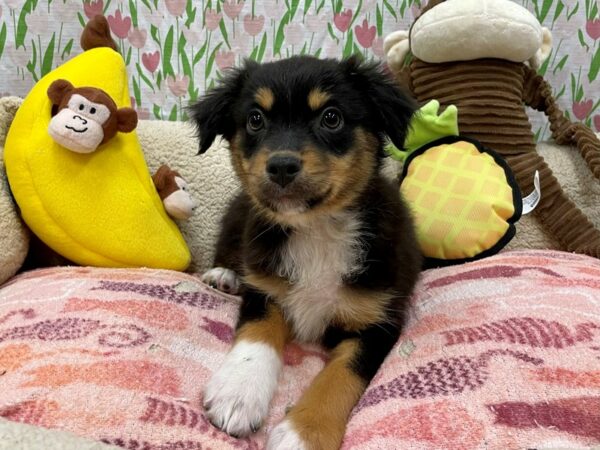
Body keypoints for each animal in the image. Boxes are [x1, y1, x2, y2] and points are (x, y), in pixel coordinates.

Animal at [190, 56, 420, 450]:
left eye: (331, 117)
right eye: (255, 119)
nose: (281, 166)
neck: (316, 229)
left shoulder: (378, 322)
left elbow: (341, 374)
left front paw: (303, 433)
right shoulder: (264, 290)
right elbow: (257, 335)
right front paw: (238, 393)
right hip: (237, 218)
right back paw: (223, 276)